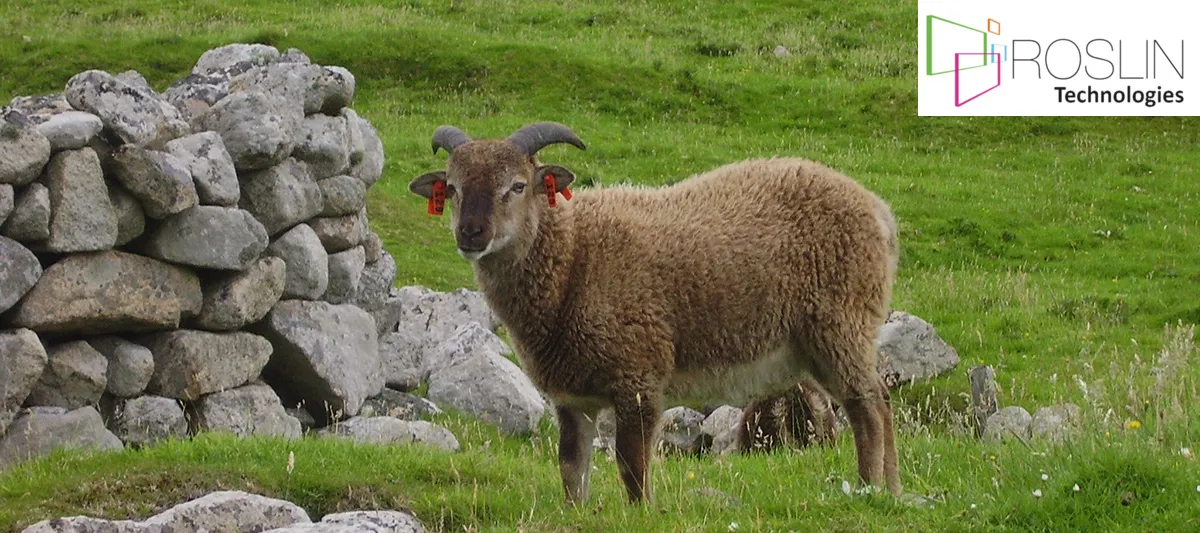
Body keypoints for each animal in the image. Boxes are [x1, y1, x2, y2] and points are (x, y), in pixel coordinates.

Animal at [408, 122, 902, 504]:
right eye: (452, 188)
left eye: (517, 185)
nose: (471, 233)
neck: (573, 258)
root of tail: (879, 211)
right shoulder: (572, 397)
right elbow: (571, 469)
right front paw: (577, 513)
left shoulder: (638, 377)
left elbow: (632, 466)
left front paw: (641, 512)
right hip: (824, 341)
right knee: (878, 402)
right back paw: (893, 492)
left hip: (841, 324)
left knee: (868, 406)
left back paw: (868, 488)